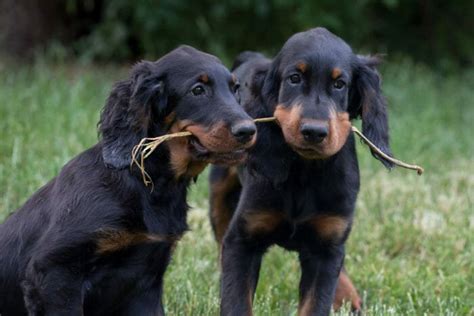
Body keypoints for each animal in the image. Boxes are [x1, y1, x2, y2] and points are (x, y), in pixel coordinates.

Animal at [0, 45, 256, 316]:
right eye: (198, 90)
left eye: (235, 88)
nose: (249, 131)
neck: (147, 184)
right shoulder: (54, 270)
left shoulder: (145, 283)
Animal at [211, 28, 392, 314]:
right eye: (294, 79)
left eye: (340, 84)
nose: (314, 132)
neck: (305, 171)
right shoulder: (242, 240)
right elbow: (236, 300)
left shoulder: (327, 246)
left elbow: (317, 301)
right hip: (220, 192)